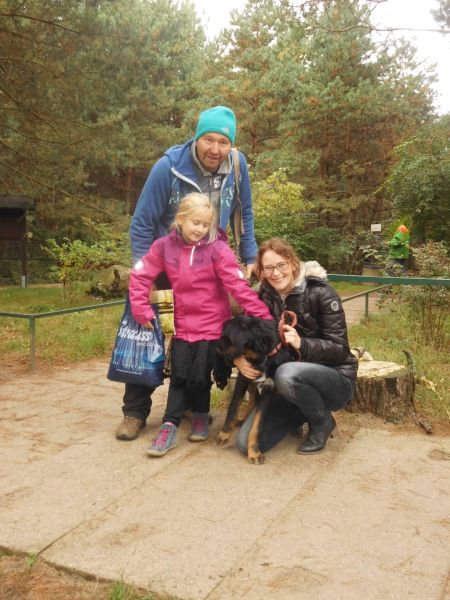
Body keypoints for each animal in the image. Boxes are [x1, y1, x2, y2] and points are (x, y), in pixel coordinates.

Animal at [216, 313, 298, 464]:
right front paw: (224, 434)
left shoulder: (269, 388)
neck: (261, 355)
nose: (216, 349)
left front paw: (254, 452)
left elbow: (257, 425)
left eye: (227, 338)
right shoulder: (243, 379)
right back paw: (240, 421)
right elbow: (233, 408)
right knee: (251, 401)